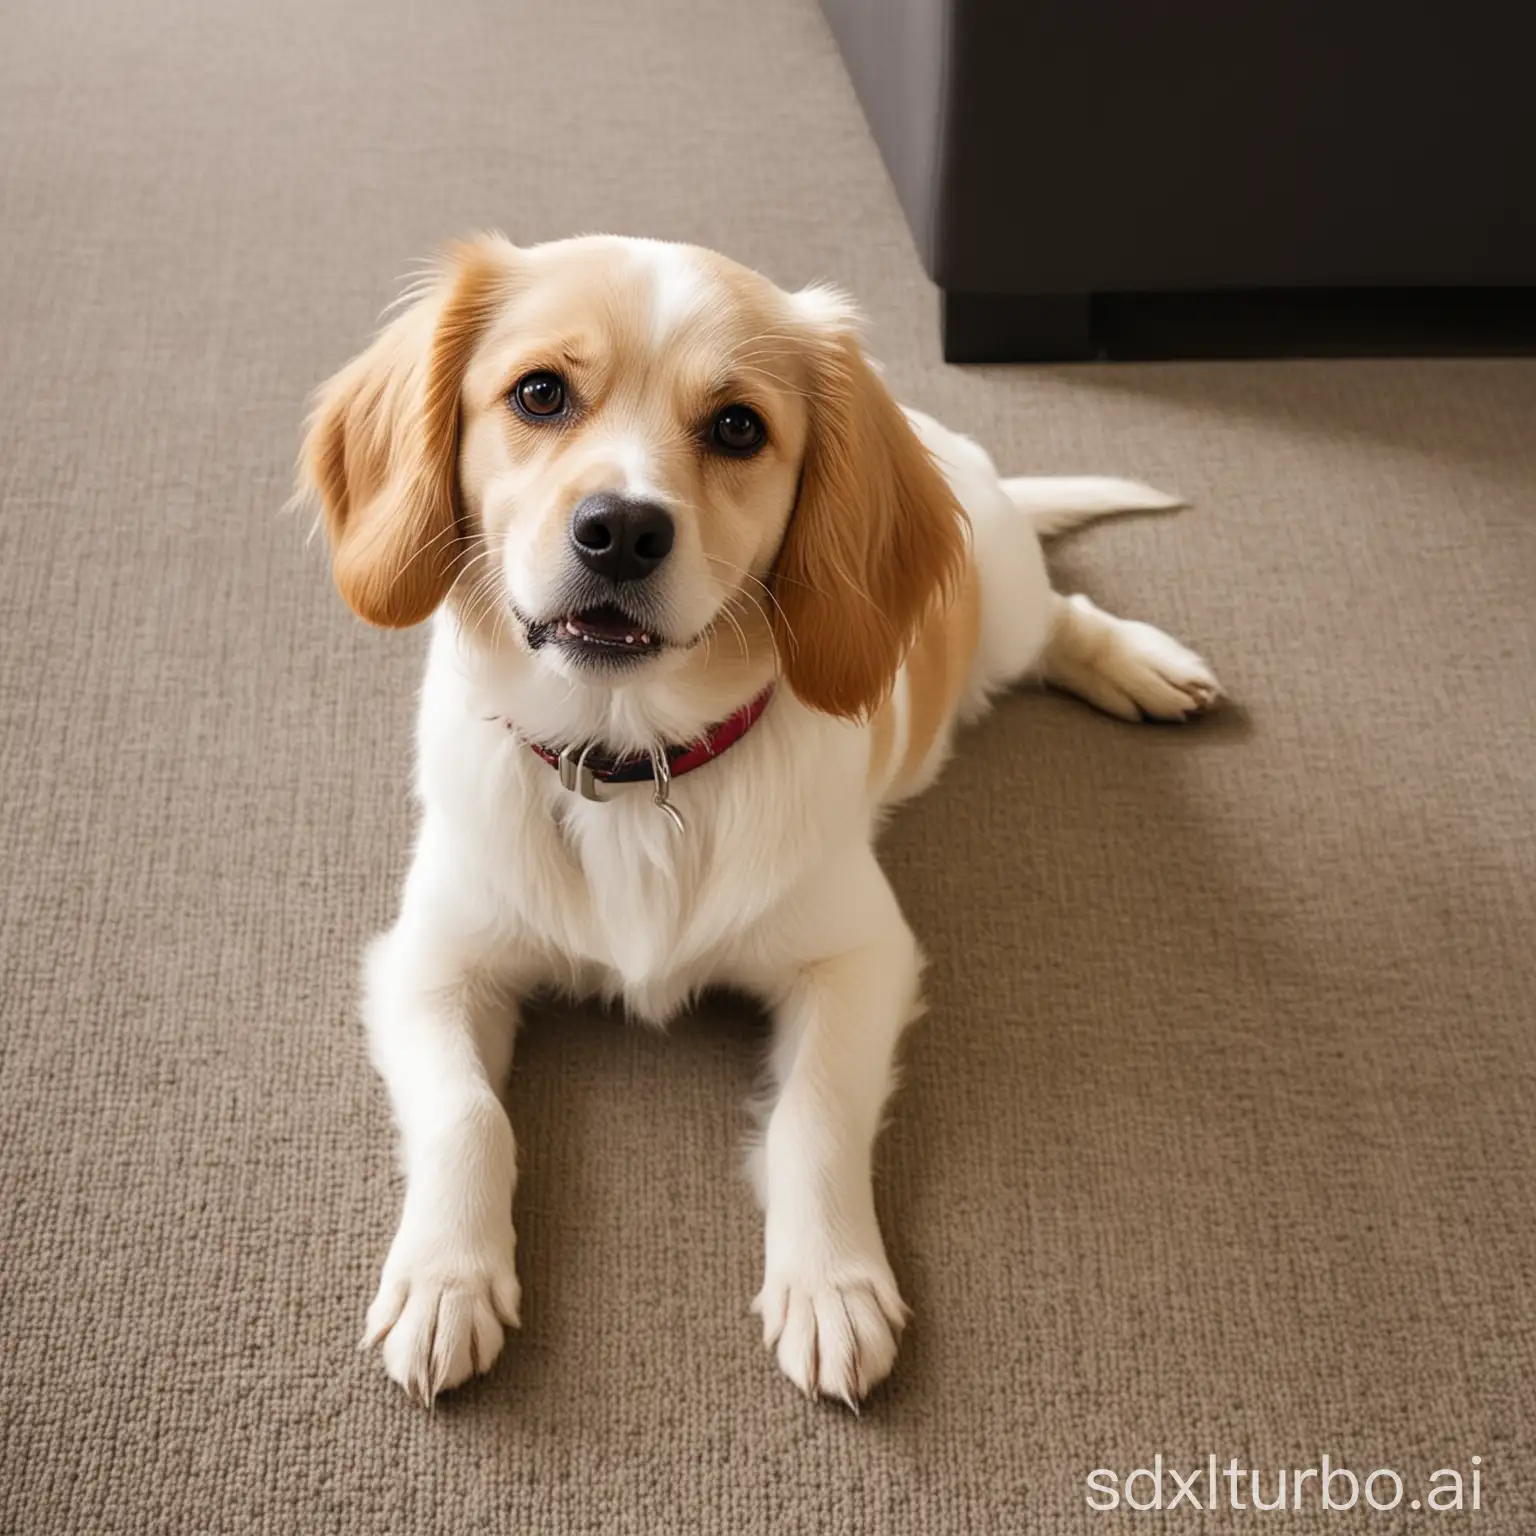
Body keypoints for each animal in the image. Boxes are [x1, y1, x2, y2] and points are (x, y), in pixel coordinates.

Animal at [299, 233, 1222, 1406]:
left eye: (738, 426)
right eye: (540, 393)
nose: (622, 530)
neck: (631, 766)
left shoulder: (861, 957)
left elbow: (814, 1114)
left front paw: (830, 1285)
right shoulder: (430, 960)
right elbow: (470, 1113)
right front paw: (443, 1280)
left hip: (1005, 612)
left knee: (1065, 614)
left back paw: (1138, 664)